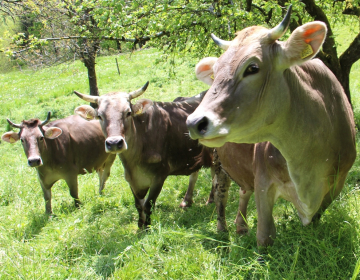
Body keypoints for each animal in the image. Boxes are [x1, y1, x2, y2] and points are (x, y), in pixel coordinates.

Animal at [73, 84, 214, 229]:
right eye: (100, 116)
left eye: (128, 113)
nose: (114, 143)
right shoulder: (131, 179)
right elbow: (138, 205)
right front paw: (140, 226)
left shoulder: (159, 176)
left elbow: (148, 205)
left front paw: (147, 227)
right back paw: (188, 201)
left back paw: (210, 200)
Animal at [187, 6, 356, 247]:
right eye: (216, 71)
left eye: (252, 67)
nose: (194, 122)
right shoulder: (263, 179)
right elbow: (265, 235)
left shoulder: (337, 183)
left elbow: (314, 222)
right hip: (219, 162)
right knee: (221, 194)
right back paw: (222, 230)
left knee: (243, 191)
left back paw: (240, 227)